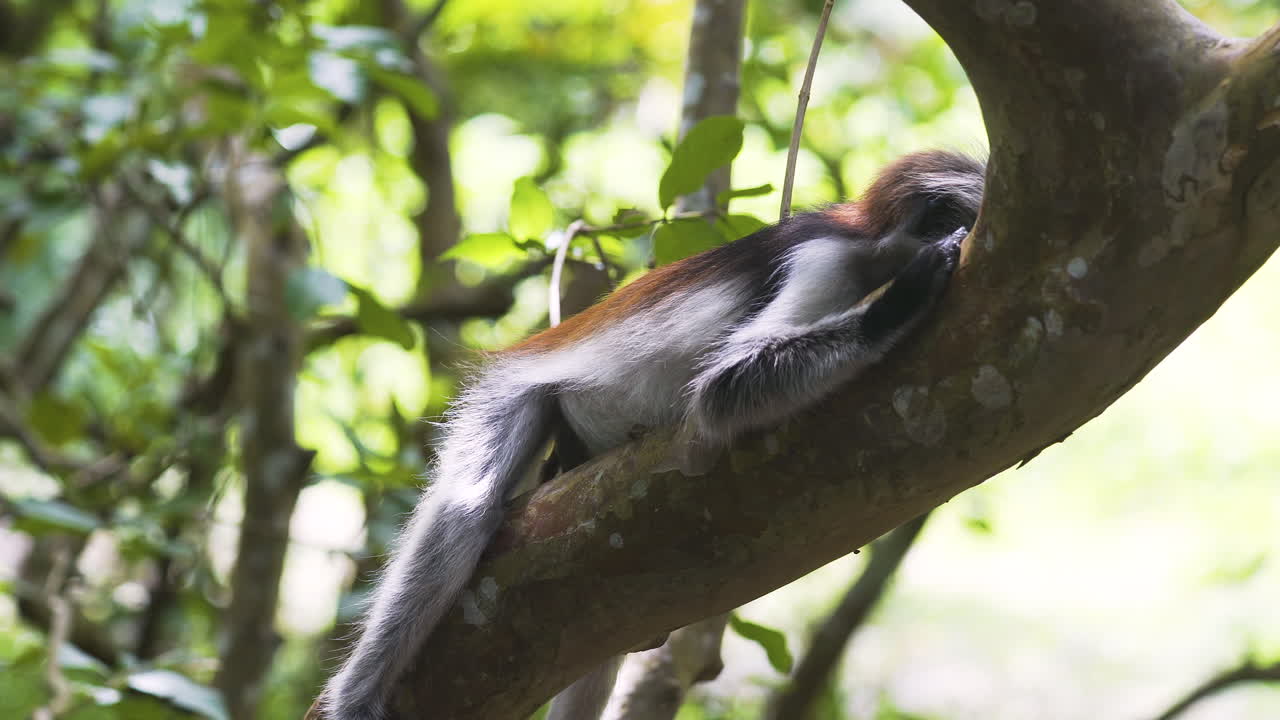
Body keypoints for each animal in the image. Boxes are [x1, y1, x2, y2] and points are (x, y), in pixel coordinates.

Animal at [319, 149, 985, 720]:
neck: (865, 240)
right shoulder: (825, 263)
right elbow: (720, 389)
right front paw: (903, 300)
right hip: (512, 394)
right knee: (466, 509)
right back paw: (357, 692)